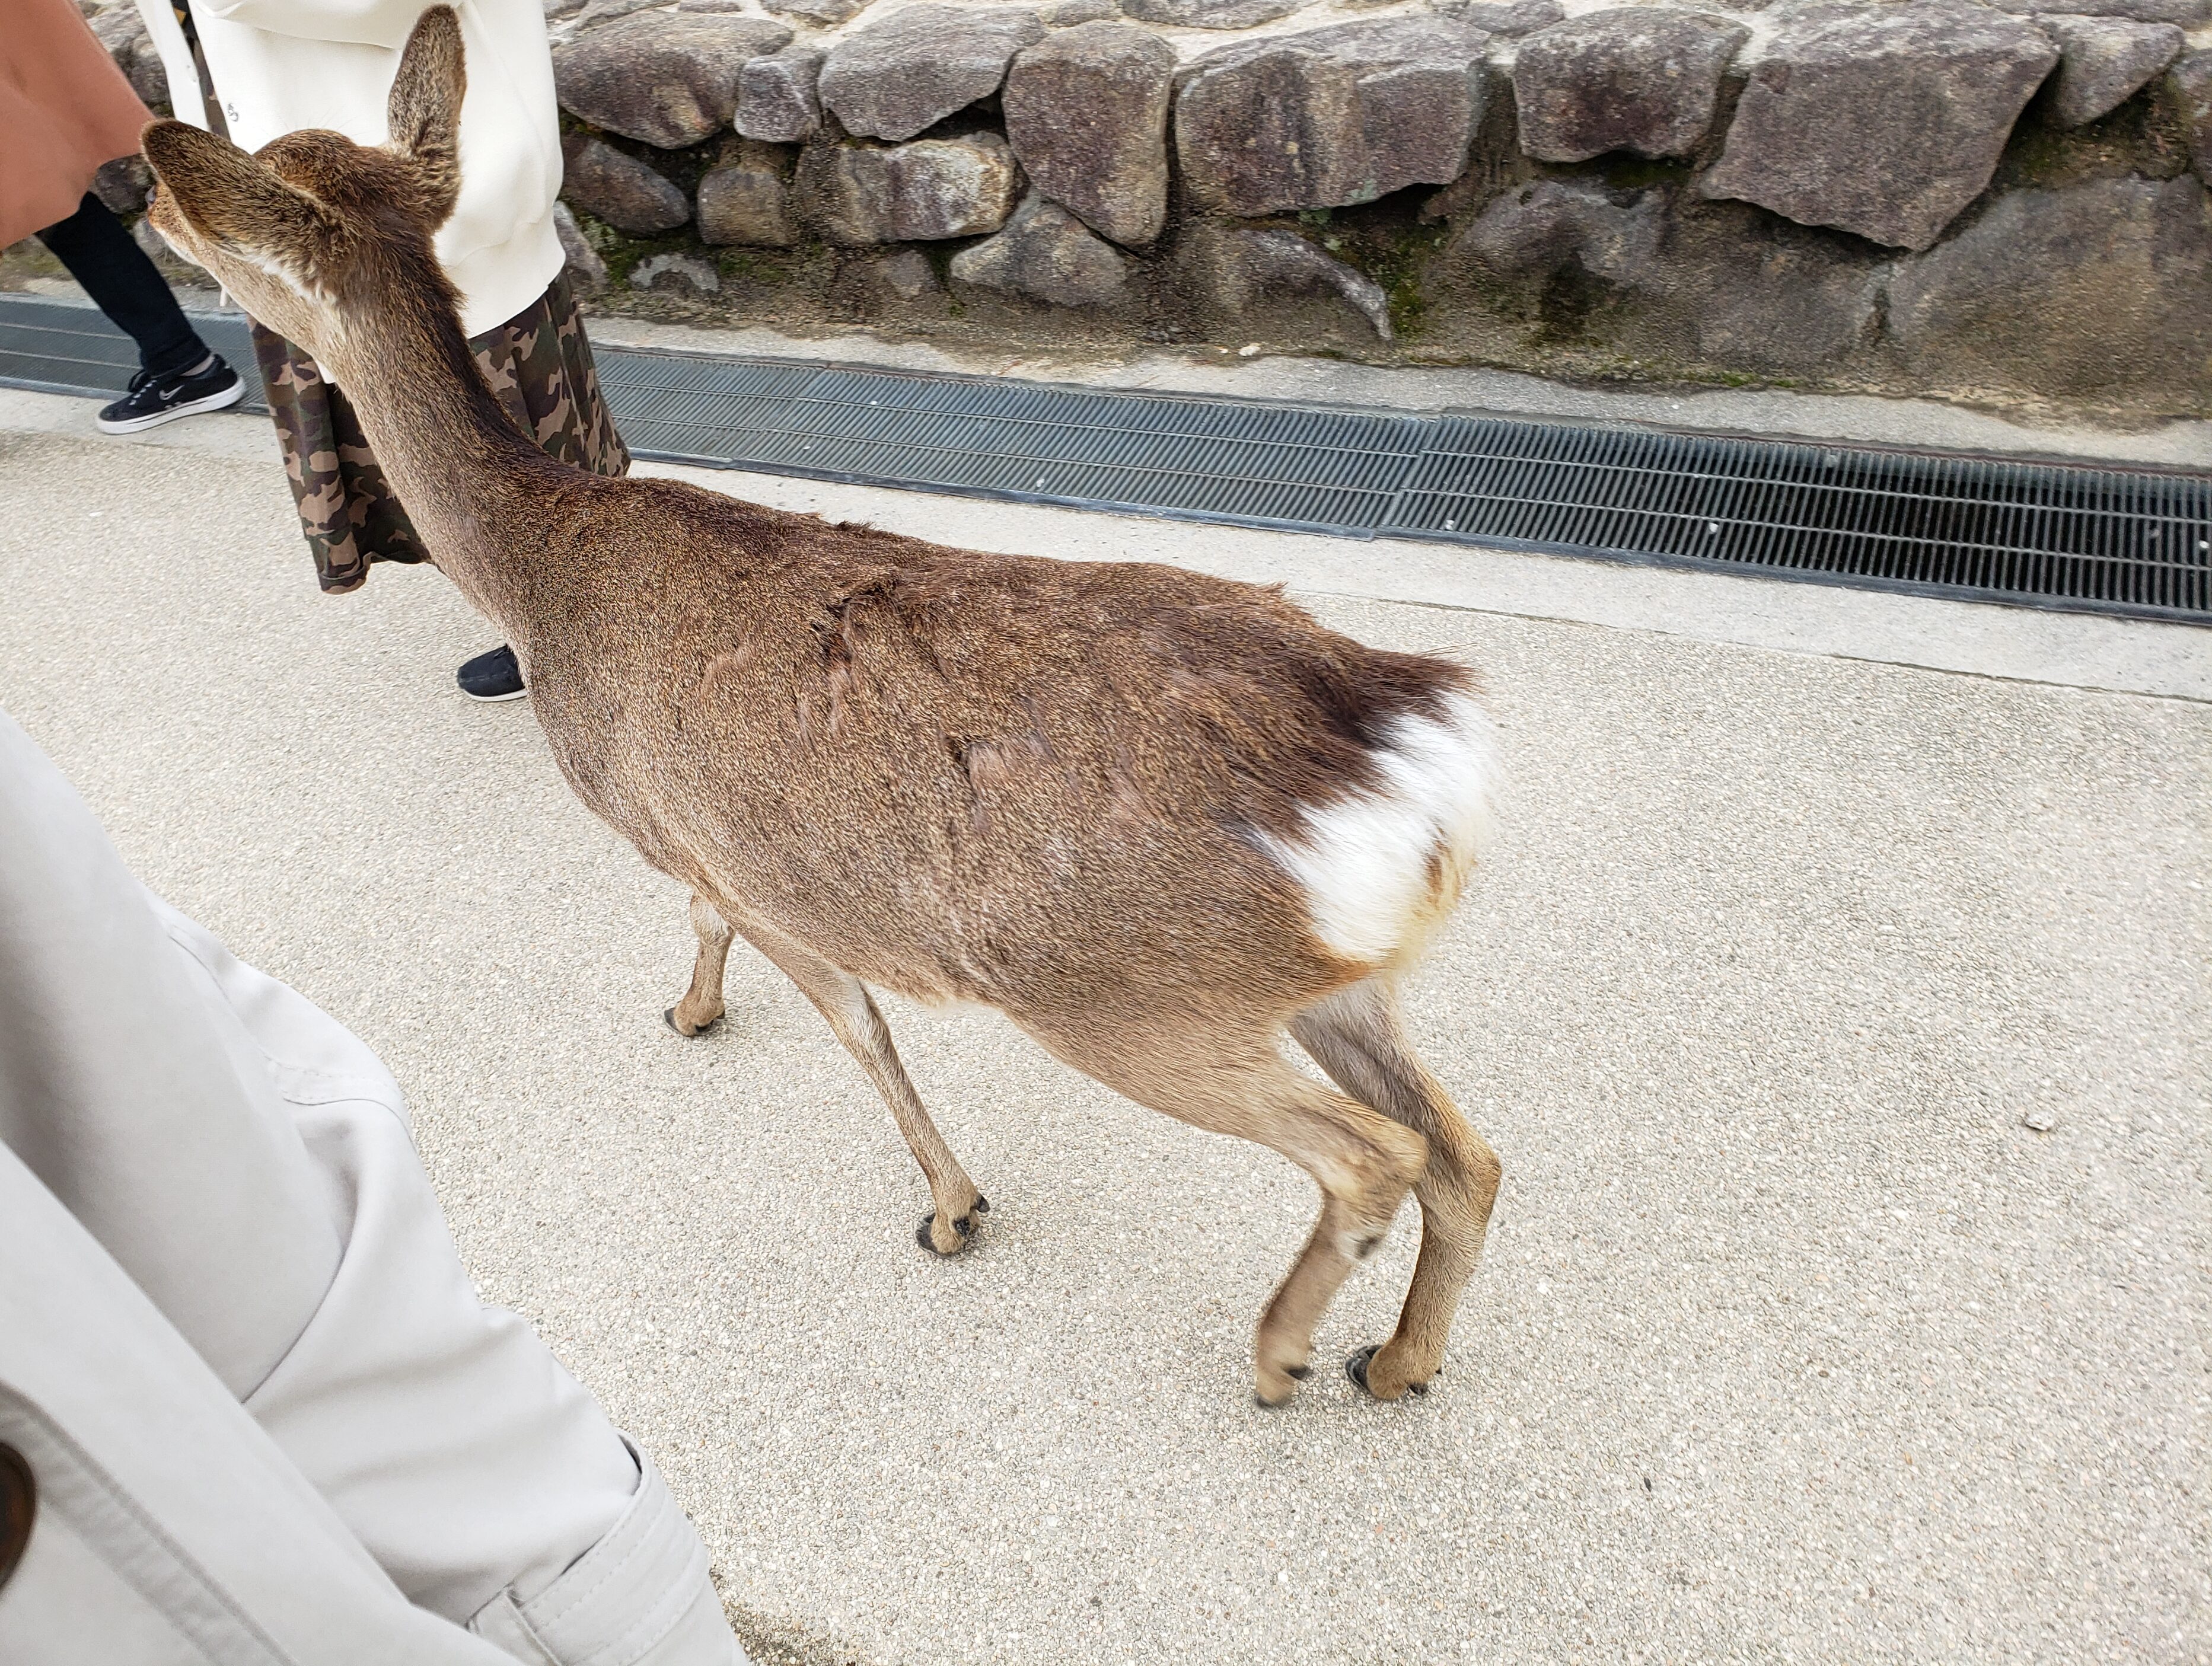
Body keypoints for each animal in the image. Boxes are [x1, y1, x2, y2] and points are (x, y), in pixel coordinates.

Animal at [139, 5, 1505, 1407]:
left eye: (205, 206)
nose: (141, 202)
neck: (540, 583)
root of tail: (1406, 748)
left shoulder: (725, 856)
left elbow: (854, 1023)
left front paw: (949, 1208)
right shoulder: (710, 846)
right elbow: (742, 952)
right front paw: (695, 1012)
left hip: (1131, 995)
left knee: (1375, 1155)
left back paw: (1280, 1352)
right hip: (1324, 980)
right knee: (1467, 1151)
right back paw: (1397, 1359)